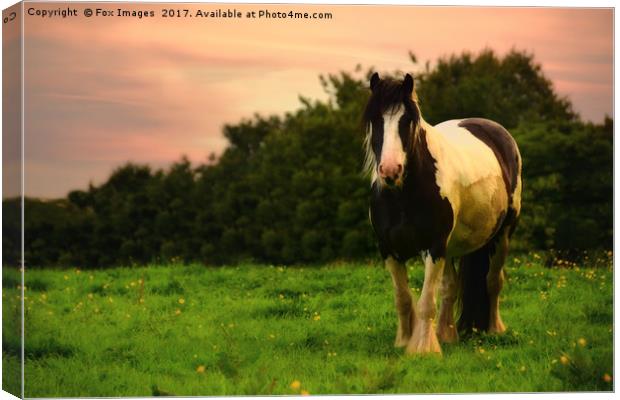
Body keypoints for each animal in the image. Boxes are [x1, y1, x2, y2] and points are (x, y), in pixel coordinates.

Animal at [364, 72, 524, 354]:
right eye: (375, 119)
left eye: (408, 120)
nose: (390, 170)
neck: (402, 195)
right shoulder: (389, 250)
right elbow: (403, 298)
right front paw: (404, 341)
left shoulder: (434, 246)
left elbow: (426, 301)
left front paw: (423, 350)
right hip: (452, 247)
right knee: (451, 288)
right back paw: (446, 334)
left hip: (502, 235)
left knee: (493, 281)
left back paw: (494, 329)